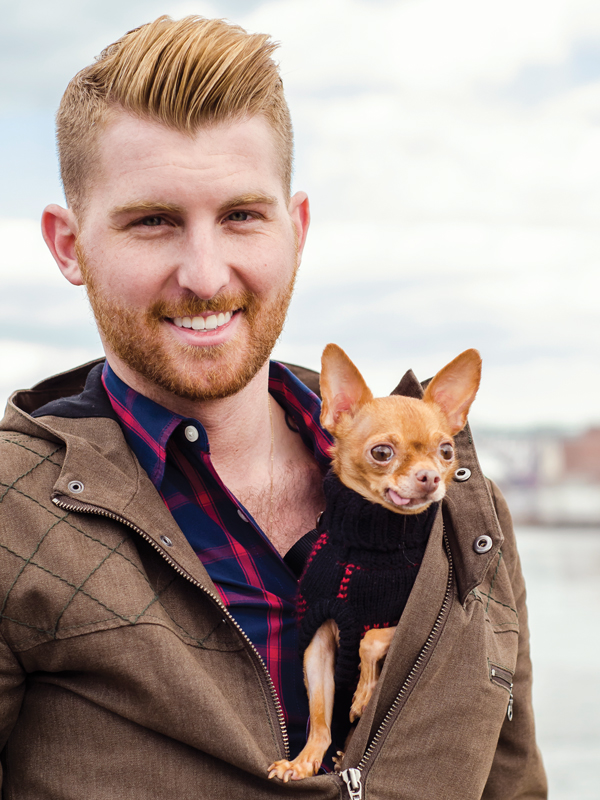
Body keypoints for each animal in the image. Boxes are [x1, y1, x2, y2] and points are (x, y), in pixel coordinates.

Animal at [270, 344, 480, 780]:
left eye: (446, 452)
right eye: (382, 453)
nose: (431, 477)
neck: (367, 544)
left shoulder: (407, 617)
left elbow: (371, 639)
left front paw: (364, 696)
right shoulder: (317, 642)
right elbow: (320, 714)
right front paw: (304, 762)